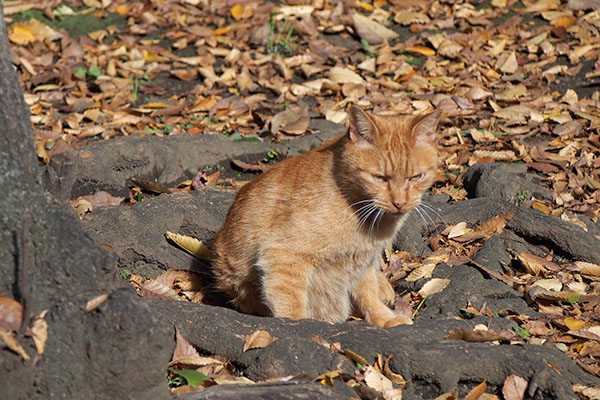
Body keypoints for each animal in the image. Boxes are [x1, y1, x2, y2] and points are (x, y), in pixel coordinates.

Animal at [211, 106, 440, 328]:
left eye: (416, 177)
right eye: (380, 178)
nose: (400, 203)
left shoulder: (361, 264)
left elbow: (368, 296)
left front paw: (384, 318)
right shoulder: (283, 255)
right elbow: (292, 307)